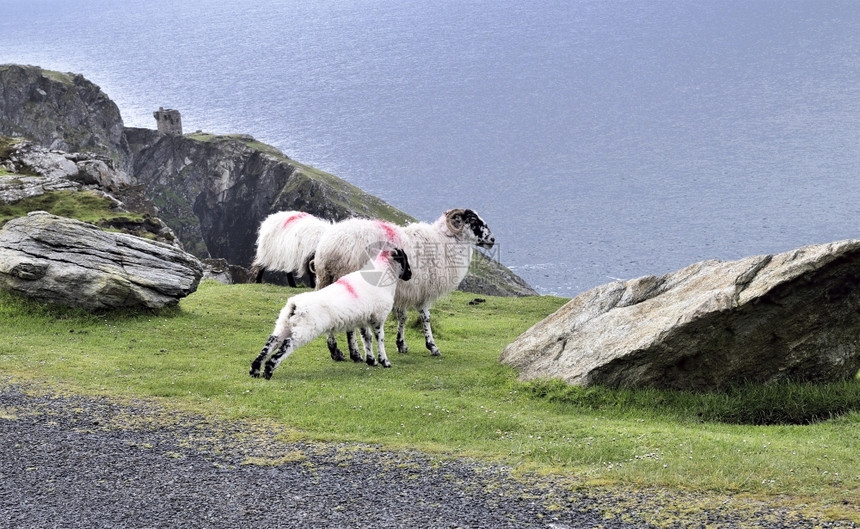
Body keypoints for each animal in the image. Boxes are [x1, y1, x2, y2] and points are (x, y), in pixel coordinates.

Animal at [249, 245, 414, 378]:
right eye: (404, 258)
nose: (410, 275)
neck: (380, 275)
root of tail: (294, 306)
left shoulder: (364, 319)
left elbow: (367, 338)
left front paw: (371, 360)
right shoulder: (378, 318)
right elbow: (380, 340)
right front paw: (384, 361)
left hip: (284, 325)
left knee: (271, 342)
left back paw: (255, 371)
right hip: (304, 330)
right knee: (286, 344)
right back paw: (268, 371)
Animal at [312, 208, 494, 360]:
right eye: (473, 221)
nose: (492, 239)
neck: (443, 242)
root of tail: (330, 247)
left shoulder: (403, 291)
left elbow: (402, 316)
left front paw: (401, 344)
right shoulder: (424, 291)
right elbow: (426, 318)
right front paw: (432, 347)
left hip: (325, 280)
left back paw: (336, 351)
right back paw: (355, 353)